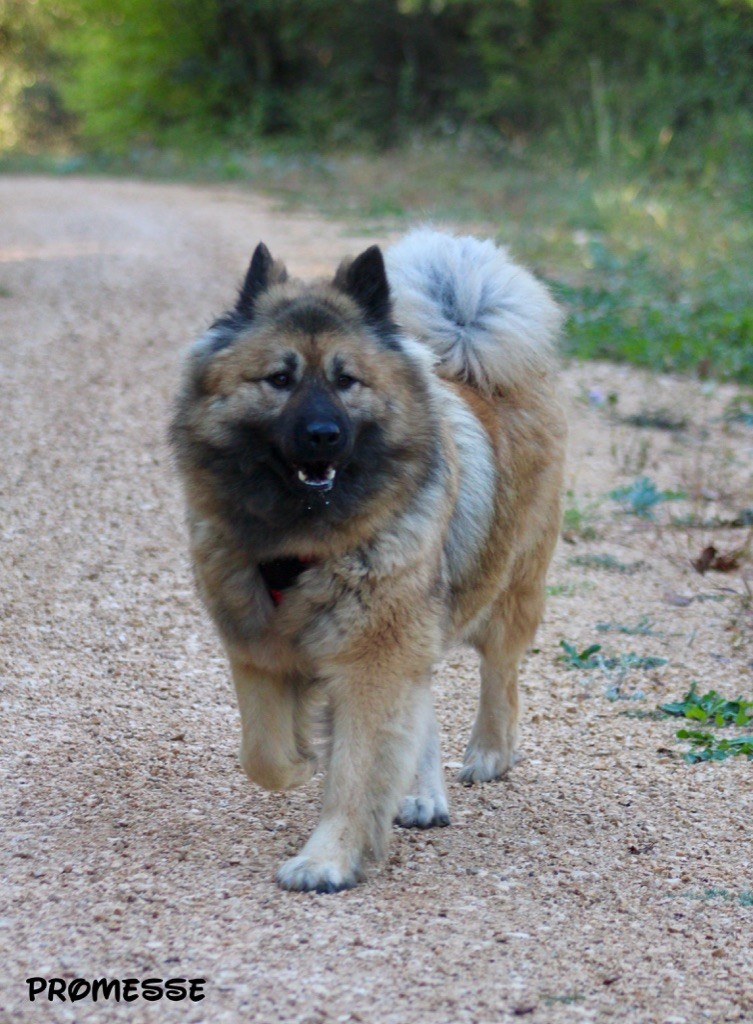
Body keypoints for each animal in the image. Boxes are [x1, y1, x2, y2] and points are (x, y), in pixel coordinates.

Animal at [171, 228, 569, 892]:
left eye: (347, 380)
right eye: (279, 378)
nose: (323, 434)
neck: (302, 540)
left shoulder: (373, 654)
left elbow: (357, 772)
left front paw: (326, 860)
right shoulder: (257, 645)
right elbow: (264, 755)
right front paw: (302, 762)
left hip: (508, 588)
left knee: (500, 676)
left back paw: (488, 753)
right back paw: (422, 795)